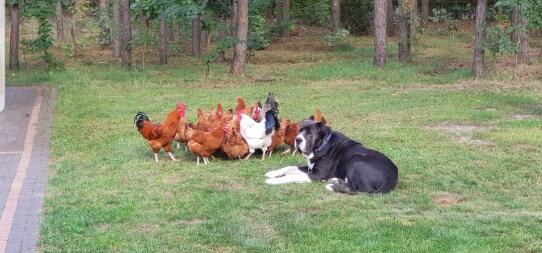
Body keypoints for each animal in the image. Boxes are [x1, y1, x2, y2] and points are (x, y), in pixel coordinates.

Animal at [266, 119, 400, 194]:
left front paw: (273, 181)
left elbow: (293, 176)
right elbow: (290, 167)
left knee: (354, 189)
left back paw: (332, 186)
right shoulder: (310, 167)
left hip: (356, 160)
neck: (322, 145)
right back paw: (335, 180)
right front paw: (272, 173)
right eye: (299, 130)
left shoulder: (317, 174)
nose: (297, 139)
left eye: (309, 133)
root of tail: (392, 177)